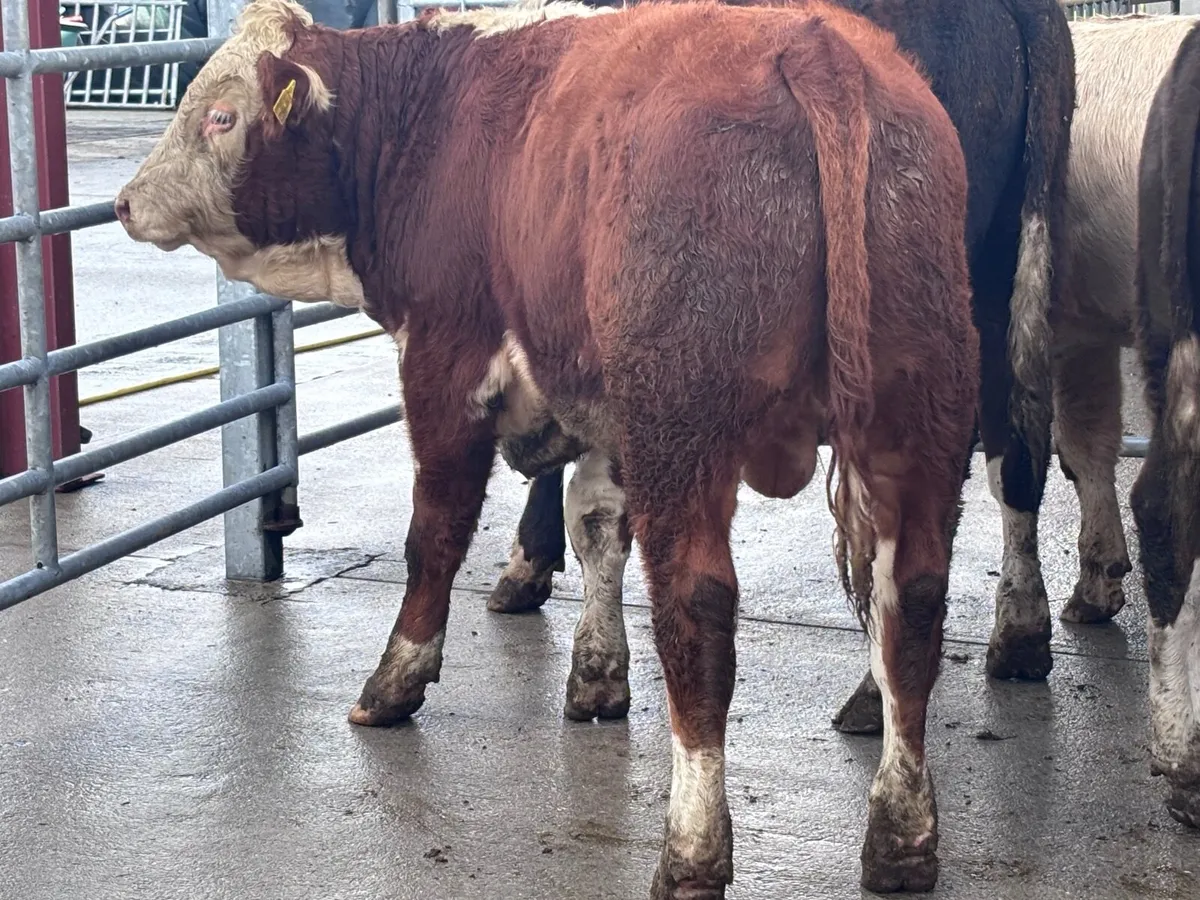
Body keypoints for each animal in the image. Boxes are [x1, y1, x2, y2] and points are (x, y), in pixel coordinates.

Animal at [114, 0, 979, 893]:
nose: (125, 202)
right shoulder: (604, 407)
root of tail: (814, 46)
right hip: (919, 411)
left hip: (684, 424)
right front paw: (596, 673)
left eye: (220, 116)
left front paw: (396, 678)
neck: (426, 117)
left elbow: (436, 534)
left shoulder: (447, 362)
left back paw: (692, 849)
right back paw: (902, 837)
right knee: (912, 598)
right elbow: (595, 525)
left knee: (698, 607)